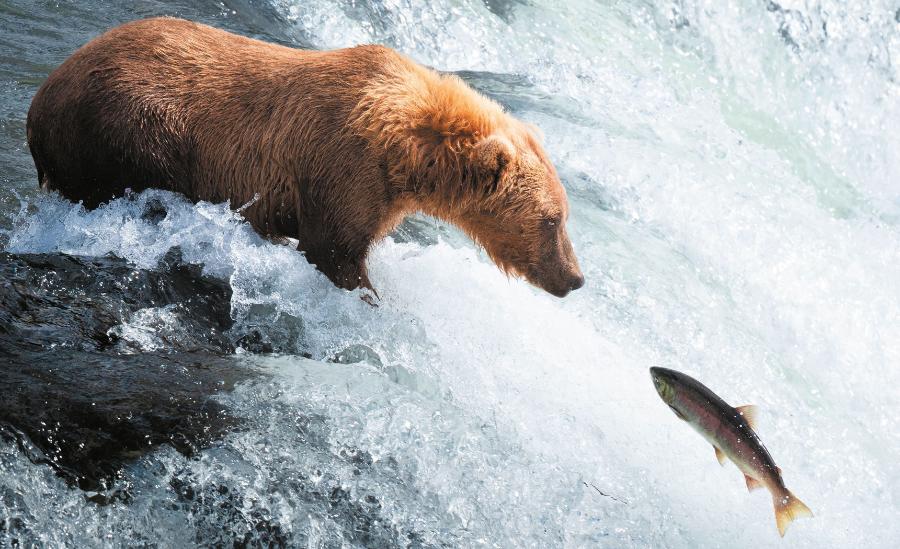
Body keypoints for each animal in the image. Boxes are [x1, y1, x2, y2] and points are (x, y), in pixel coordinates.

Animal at [26, 18, 584, 296]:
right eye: (551, 219)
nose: (575, 278)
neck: (407, 153)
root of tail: (38, 103)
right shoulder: (343, 166)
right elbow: (333, 251)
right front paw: (369, 296)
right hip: (131, 128)